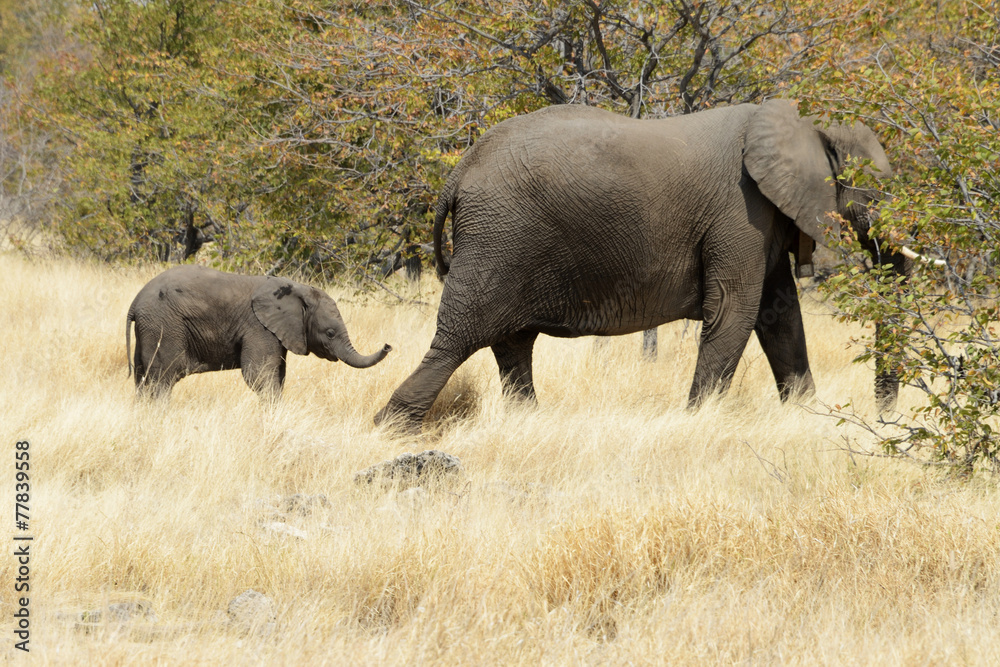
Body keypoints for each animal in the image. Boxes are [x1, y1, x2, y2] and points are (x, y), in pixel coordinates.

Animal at [126, 265, 391, 398]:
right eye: (330, 333)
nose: (388, 345)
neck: (298, 289)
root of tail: (135, 302)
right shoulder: (258, 327)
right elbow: (258, 375)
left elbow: (278, 376)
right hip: (164, 325)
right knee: (162, 379)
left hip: (150, 328)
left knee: (142, 379)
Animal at [374, 99, 911, 431]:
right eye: (874, 194)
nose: (883, 417)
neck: (802, 118)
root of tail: (459, 171)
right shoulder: (740, 212)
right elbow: (733, 310)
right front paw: (697, 422)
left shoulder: (763, 220)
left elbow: (779, 315)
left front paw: (805, 416)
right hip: (498, 238)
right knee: (458, 339)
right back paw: (390, 430)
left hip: (506, 243)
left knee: (511, 344)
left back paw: (527, 421)